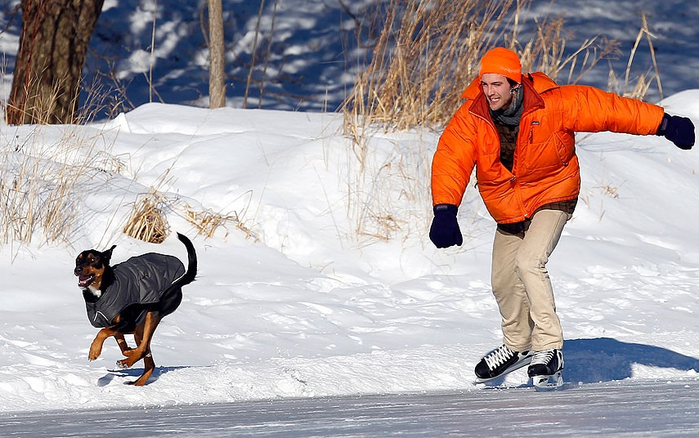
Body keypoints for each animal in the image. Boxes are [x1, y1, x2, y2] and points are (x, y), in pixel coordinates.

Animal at [74, 233, 197, 386]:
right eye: (78, 260)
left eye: (93, 259)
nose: (77, 269)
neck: (103, 290)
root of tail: (181, 280)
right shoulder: (115, 324)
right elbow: (121, 345)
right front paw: (129, 351)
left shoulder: (128, 323)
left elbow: (103, 332)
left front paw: (94, 351)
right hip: (140, 327)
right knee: (148, 357)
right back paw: (136, 381)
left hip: (154, 311)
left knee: (144, 347)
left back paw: (127, 363)